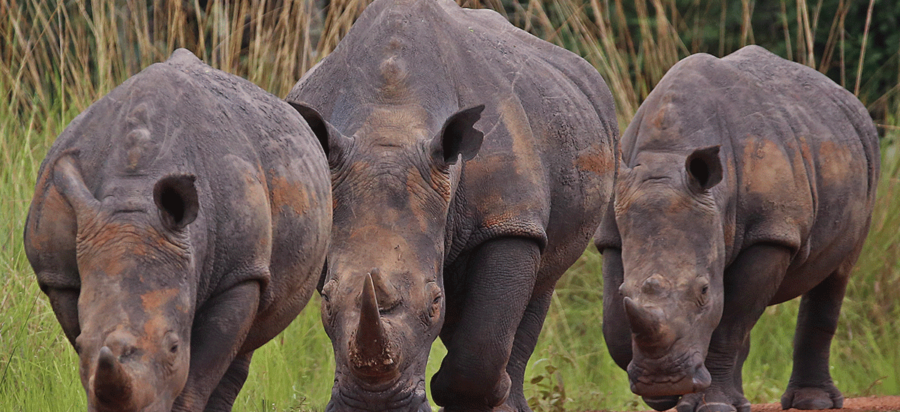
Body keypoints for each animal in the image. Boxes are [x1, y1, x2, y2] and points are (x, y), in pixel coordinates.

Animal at [286, 0, 620, 410]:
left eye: (434, 302)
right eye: (326, 303)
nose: (375, 404)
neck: (391, 118)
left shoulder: (509, 219)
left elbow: (483, 341)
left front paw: (478, 392)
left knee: (540, 286)